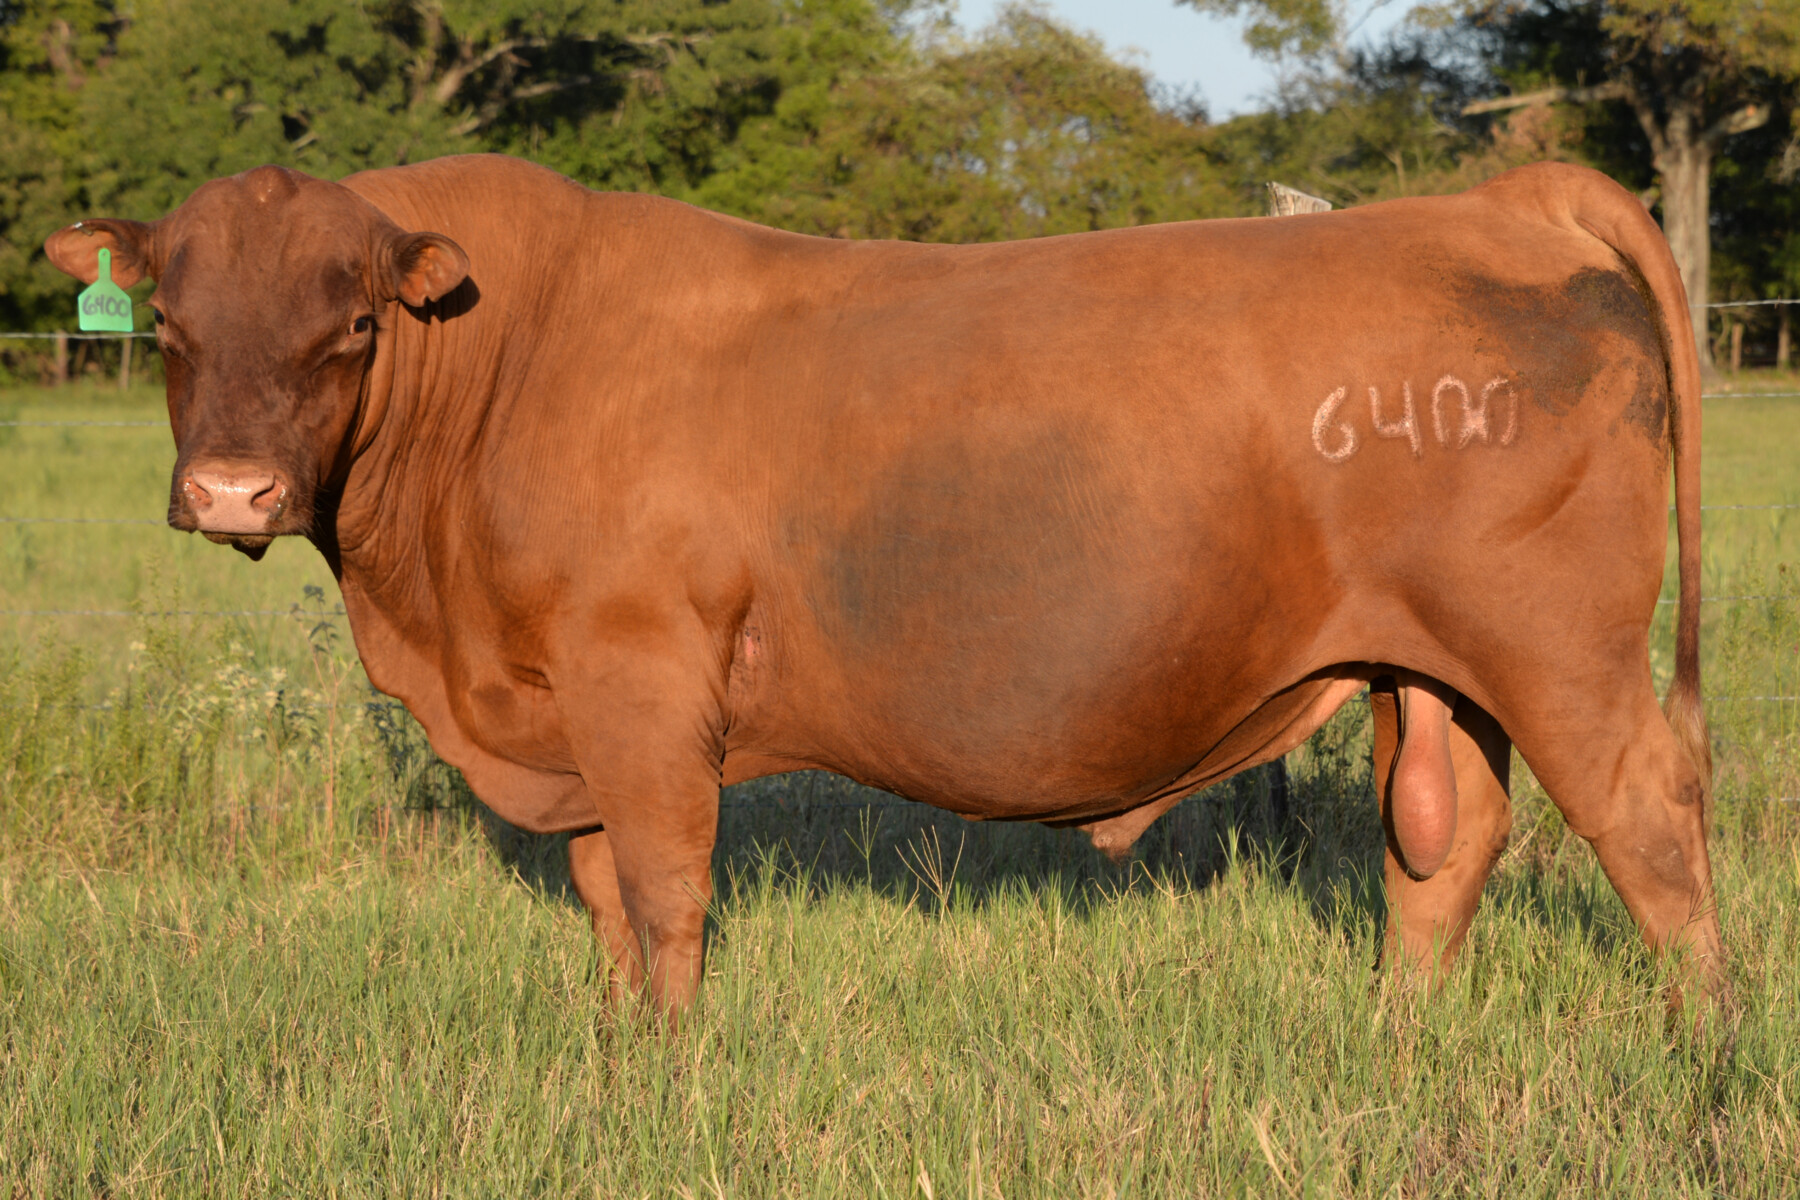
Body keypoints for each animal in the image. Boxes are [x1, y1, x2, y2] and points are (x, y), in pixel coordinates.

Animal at [46, 156, 1721, 1016]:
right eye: (172, 323)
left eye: (350, 326)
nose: (232, 492)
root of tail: (1496, 195)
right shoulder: (561, 708)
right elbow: (601, 897)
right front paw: (619, 1048)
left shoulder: (642, 682)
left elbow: (664, 890)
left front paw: (670, 1075)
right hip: (1436, 669)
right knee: (1444, 847)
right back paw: (1392, 1042)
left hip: (1562, 654)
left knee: (1651, 827)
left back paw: (1699, 1053)